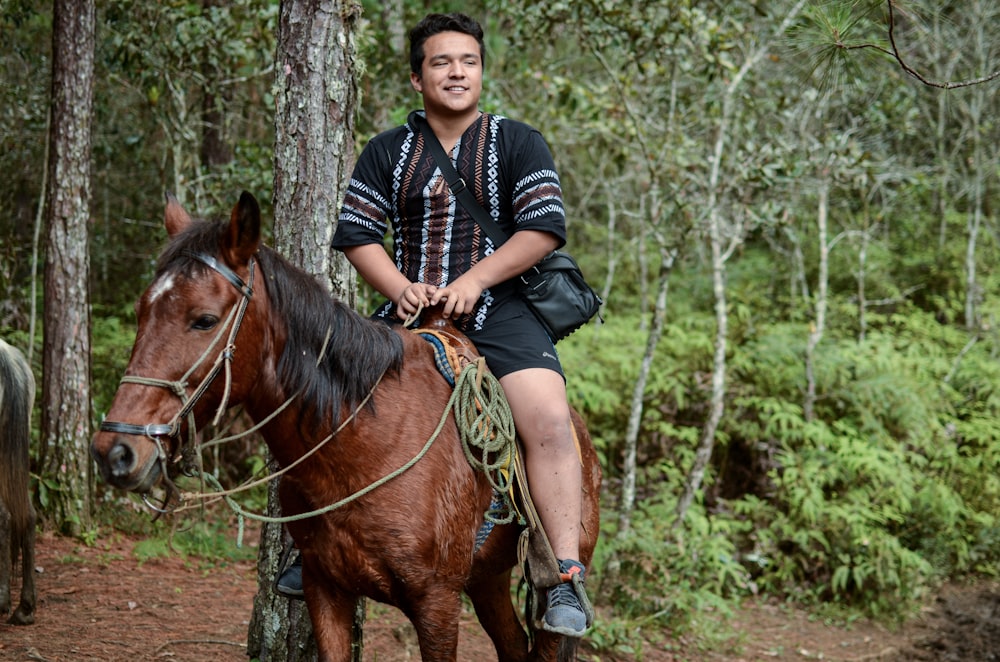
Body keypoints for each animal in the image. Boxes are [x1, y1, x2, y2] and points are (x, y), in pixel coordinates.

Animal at [90, 192, 596, 662]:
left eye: (205, 320)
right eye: (141, 312)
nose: (114, 450)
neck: (365, 451)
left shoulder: (437, 602)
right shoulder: (324, 589)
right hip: (486, 579)